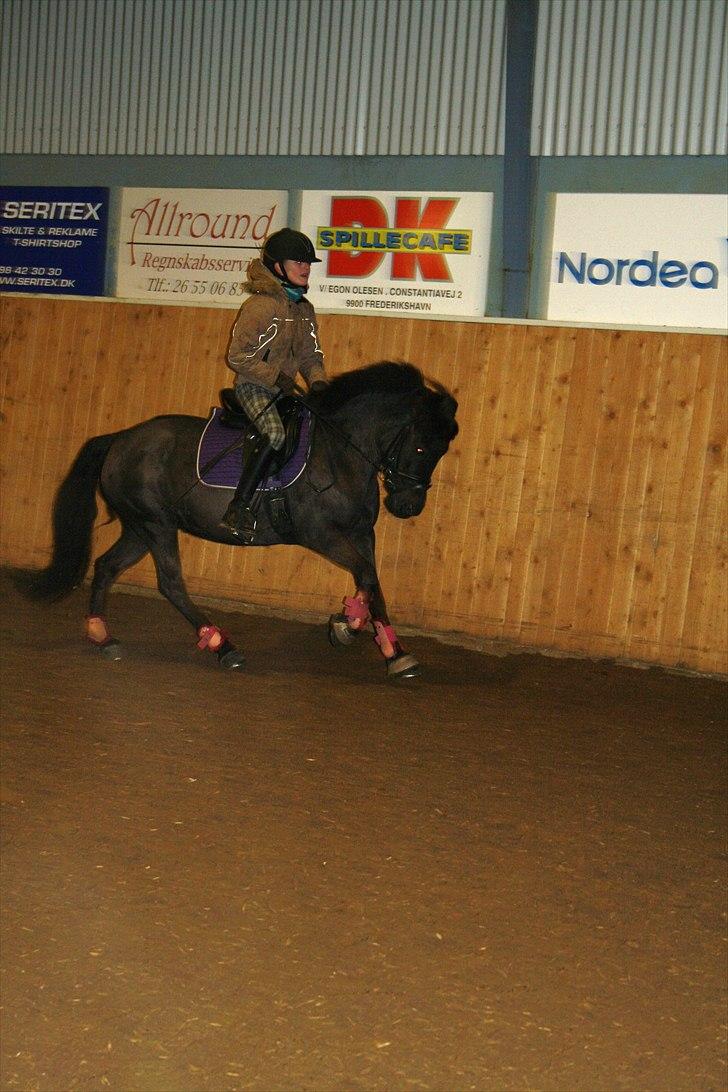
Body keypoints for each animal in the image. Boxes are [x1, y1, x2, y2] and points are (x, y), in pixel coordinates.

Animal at [27, 362, 456, 677]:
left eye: (442, 450)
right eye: (421, 446)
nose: (408, 506)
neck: (339, 453)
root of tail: (120, 438)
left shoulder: (362, 534)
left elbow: (372, 581)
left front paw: (395, 652)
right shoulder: (320, 534)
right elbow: (365, 576)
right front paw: (344, 627)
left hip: (138, 528)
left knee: (106, 566)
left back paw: (103, 637)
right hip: (155, 525)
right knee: (170, 583)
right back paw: (223, 646)